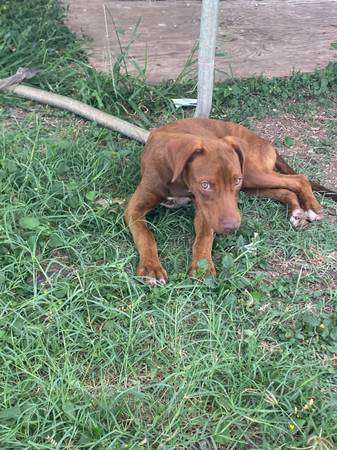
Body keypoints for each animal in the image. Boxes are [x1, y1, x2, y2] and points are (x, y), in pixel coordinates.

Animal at [124, 118, 334, 284]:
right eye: (206, 185)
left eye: (235, 181)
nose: (232, 227)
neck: (179, 180)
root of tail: (264, 140)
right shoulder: (134, 209)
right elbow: (145, 235)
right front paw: (151, 268)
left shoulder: (206, 211)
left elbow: (204, 237)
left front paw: (202, 266)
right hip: (250, 185)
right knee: (286, 190)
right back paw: (296, 211)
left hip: (250, 173)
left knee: (299, 179)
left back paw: (312, 207)